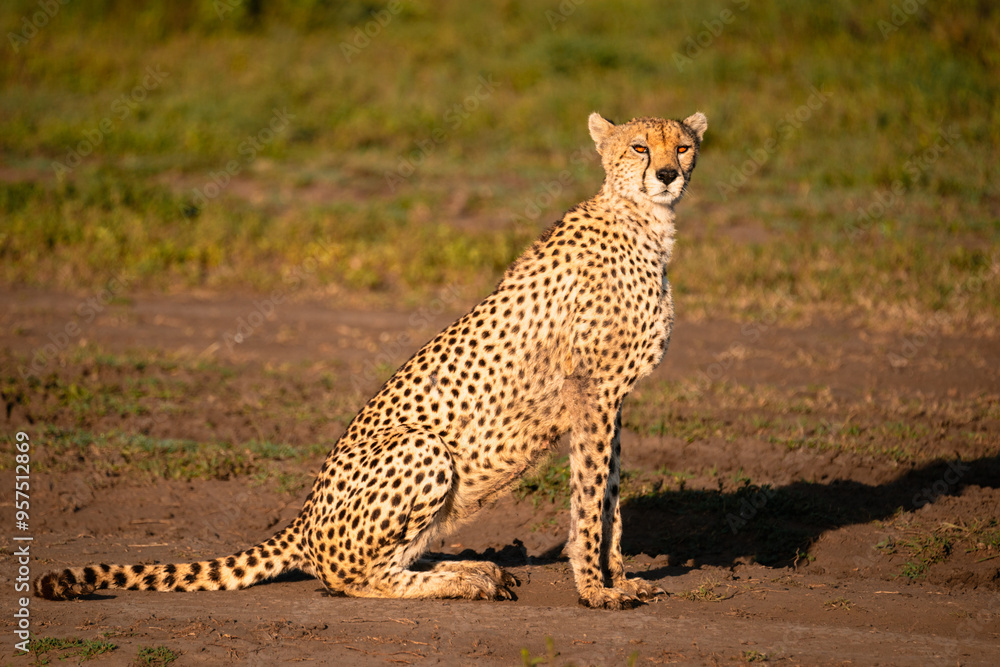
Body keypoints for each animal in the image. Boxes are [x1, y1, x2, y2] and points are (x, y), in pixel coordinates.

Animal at [34, 110, 707, 610]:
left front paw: (619, 578)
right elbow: (590, 500)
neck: (646, 223)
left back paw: (474, 567)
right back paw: (470, 579)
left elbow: (610, 494)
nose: (668, 174)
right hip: (423, 446)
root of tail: (302, 517)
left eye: (684, 145)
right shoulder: (590, 390)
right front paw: (595, 591)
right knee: (351, 579)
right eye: (640, 147)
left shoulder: (610, 398)